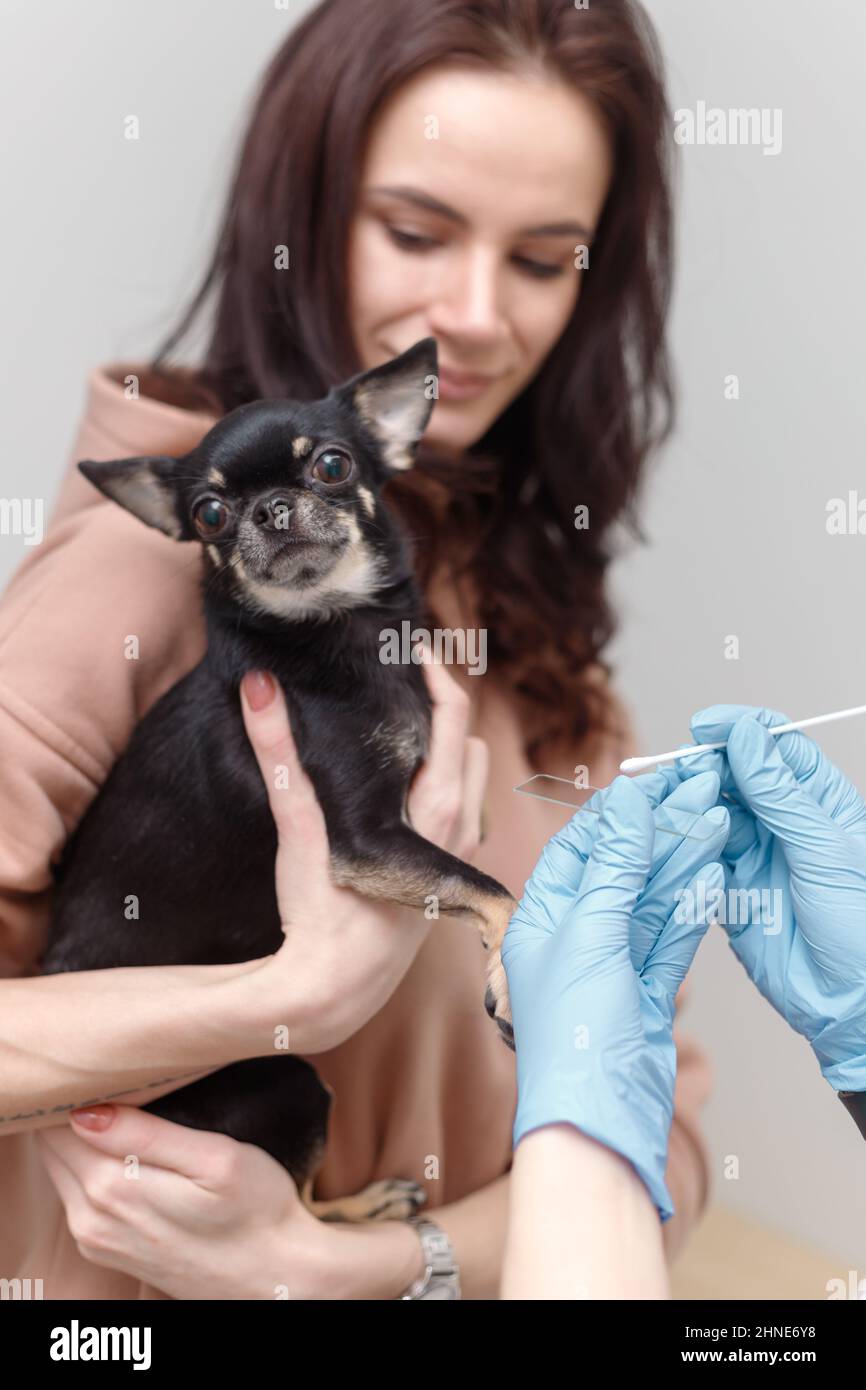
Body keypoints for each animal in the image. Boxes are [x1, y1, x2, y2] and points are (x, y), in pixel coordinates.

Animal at [40, 336, 514, 1228]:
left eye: (332, 465)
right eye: (209, 514)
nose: (269, 509)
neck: (337, 631)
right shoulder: (364, 840)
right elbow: (493, 885)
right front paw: (507, 972)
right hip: (290, 1085)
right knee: (299, 1208)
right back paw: (368, 1206)